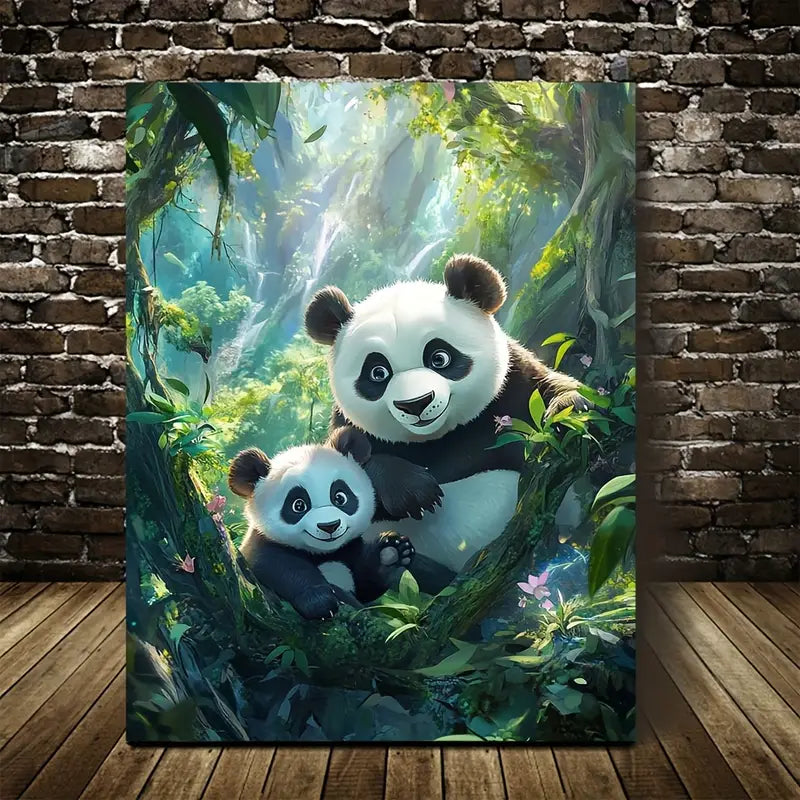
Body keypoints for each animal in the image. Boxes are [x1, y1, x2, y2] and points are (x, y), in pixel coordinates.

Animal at [228, 425, 425, 620]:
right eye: (298, 505)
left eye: (340, 497)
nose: (329, 526)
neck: (325, 554)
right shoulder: (260, 546)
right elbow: (280, 567)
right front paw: (319, 601)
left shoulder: (350, 550)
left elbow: (365, 587)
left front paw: (391, 552)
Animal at [304, 254, 585, 578]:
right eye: (377, 372)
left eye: (439, 358)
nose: (415, 404)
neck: (438, 438)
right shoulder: (347, 424)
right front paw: (414, 491)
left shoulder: (512, 385)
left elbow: (548, 389)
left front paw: (569, 411)